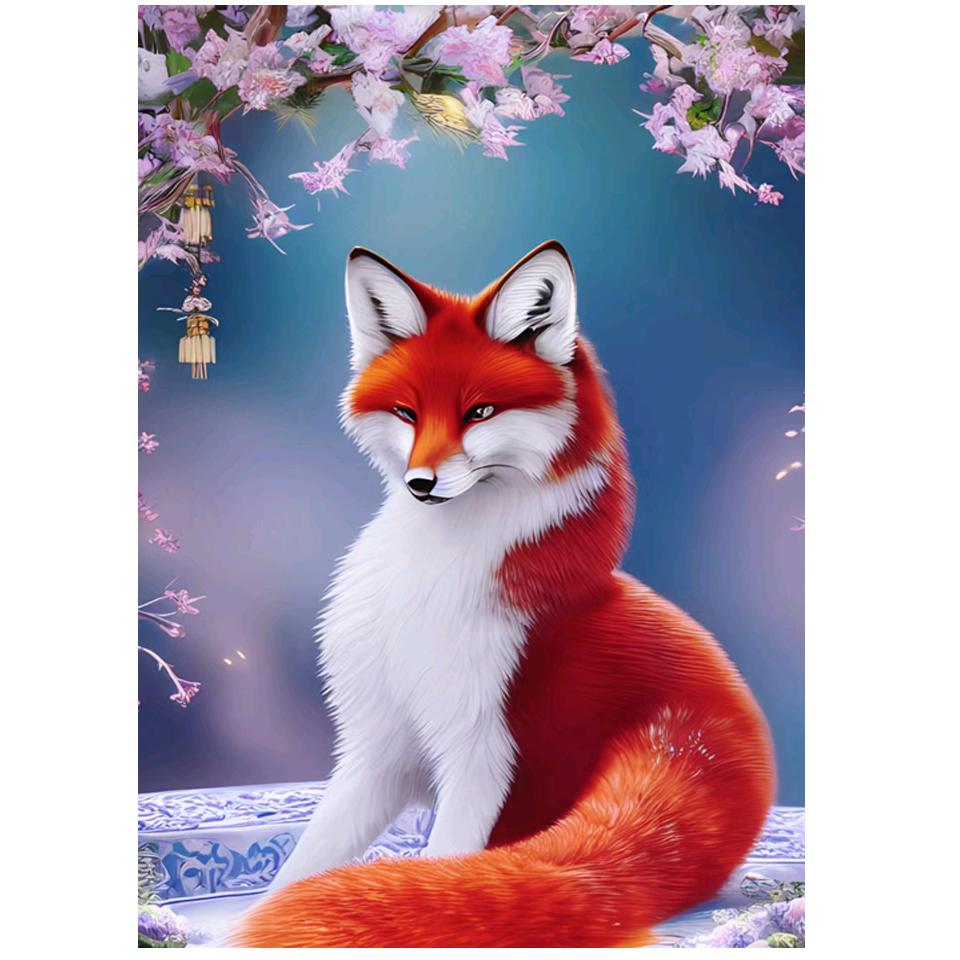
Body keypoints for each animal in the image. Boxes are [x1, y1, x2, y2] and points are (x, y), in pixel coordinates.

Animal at [231, 241, 775, 948]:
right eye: (407, 413)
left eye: (479, 412)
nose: (422, 483)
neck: (426, 586)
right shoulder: (377, 750)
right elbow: (303, 864)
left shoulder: (482, 750)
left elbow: (445, 864)